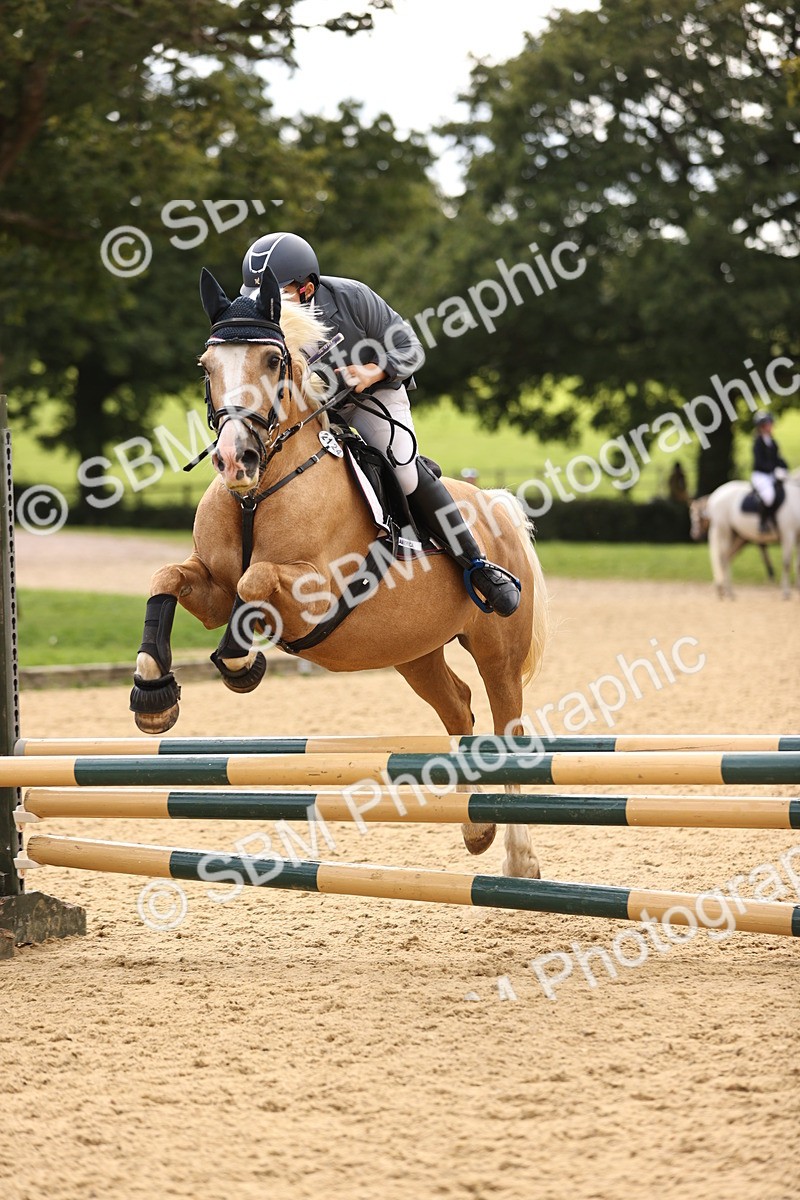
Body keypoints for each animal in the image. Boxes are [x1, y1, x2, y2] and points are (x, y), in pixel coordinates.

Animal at [130, 266, 550, 878]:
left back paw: (519, 860)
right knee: (459, 709)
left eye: (273, 361)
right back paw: (476, 829)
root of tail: (496, 504)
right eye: (206, 366)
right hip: (414, 651)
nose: (234, 460)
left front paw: (240, 664)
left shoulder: (313, 594)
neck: (258, 494)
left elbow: (255, 583)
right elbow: (166, 578)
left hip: (498, 648)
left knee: (507, 731)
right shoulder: (211, 590)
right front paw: (153, 692)